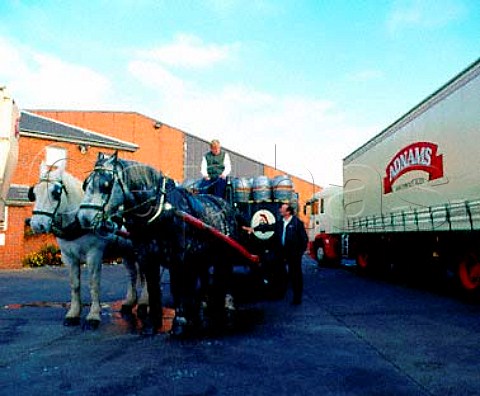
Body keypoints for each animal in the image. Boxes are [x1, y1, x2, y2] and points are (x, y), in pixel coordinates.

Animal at [28, 161, 147, 328]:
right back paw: (129, 302)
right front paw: (73, 313)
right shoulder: (69, 257)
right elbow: (75, 284)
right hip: (127, 252)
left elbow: (93, 284)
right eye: (34, 193)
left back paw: (144, 303)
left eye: (55, 193)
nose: (37, 225)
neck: (77, 220)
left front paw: (94, 315)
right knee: (133, 273)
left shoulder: (94, 254)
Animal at [79, 153, 258, 336]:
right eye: (86, 184)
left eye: (106, 185)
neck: (161, 210)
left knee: (227, 278)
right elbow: (153, 288)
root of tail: (227, 205)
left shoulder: (177, 259)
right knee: (204, 277)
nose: (84, 218)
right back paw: (203, 305)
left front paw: (179, 323)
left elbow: (176, 287)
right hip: (202, 256)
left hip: (225, 254)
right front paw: (151, 324)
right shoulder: (147, 258)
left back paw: (228, 307)